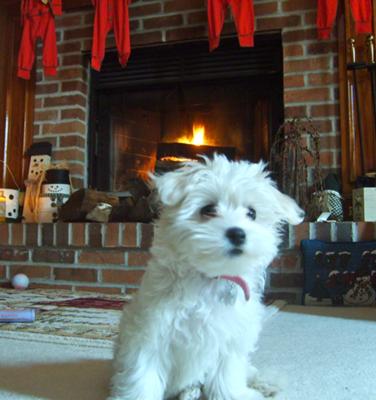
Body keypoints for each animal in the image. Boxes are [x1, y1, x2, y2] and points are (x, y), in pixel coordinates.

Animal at [108, 154, 302, 400]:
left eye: (252, 213)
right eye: (208, 209)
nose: (237, 233)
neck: (209, 277)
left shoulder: (230, 339)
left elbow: (226, 374)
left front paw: (232, 394)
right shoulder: (150, 333)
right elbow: (143, 377)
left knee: (248, 370)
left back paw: (264, 382)